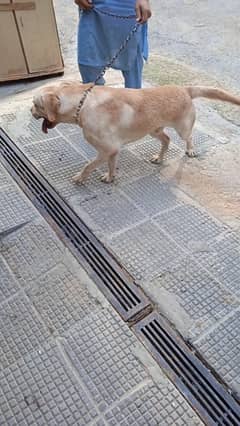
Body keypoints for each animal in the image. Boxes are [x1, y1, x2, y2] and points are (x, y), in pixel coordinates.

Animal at [31, 82, 239, 184]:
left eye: (36, 104)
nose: (31, 112)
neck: (82, 104)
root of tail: (184, 88)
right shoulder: (113, 151)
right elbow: (111, 166)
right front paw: (110, 178)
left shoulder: (106, 149)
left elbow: (88, 165)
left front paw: (80, 178)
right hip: (153, 130)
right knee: (166, 140)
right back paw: (159, 158)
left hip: (183, 128)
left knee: (188, 137)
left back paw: (191, 150)